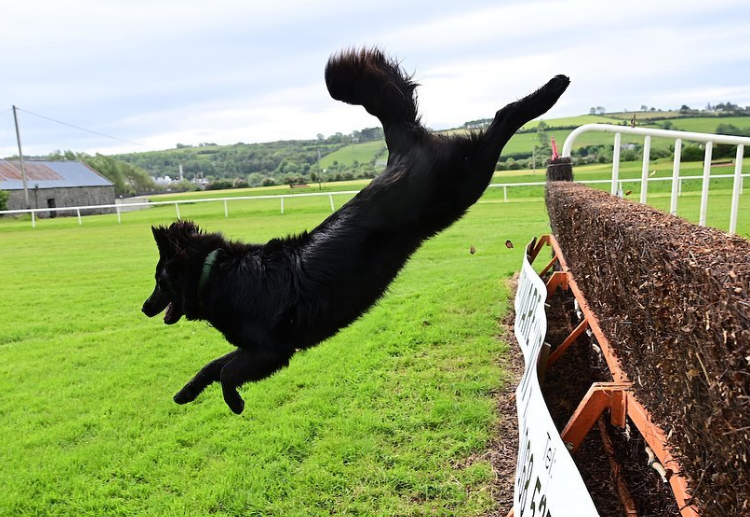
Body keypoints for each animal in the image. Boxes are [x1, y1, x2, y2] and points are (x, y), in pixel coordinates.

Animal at [144, 47, 572, 412]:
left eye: (160, 280)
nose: (145, 308)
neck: (216, 272)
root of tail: (401, 146)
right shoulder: (254, 348)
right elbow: (212, 366)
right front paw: (185, 393)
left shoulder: (270, 351)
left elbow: (227, 371)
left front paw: (233, 402)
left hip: (466, 178)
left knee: (503, 116)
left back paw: (554, 88)